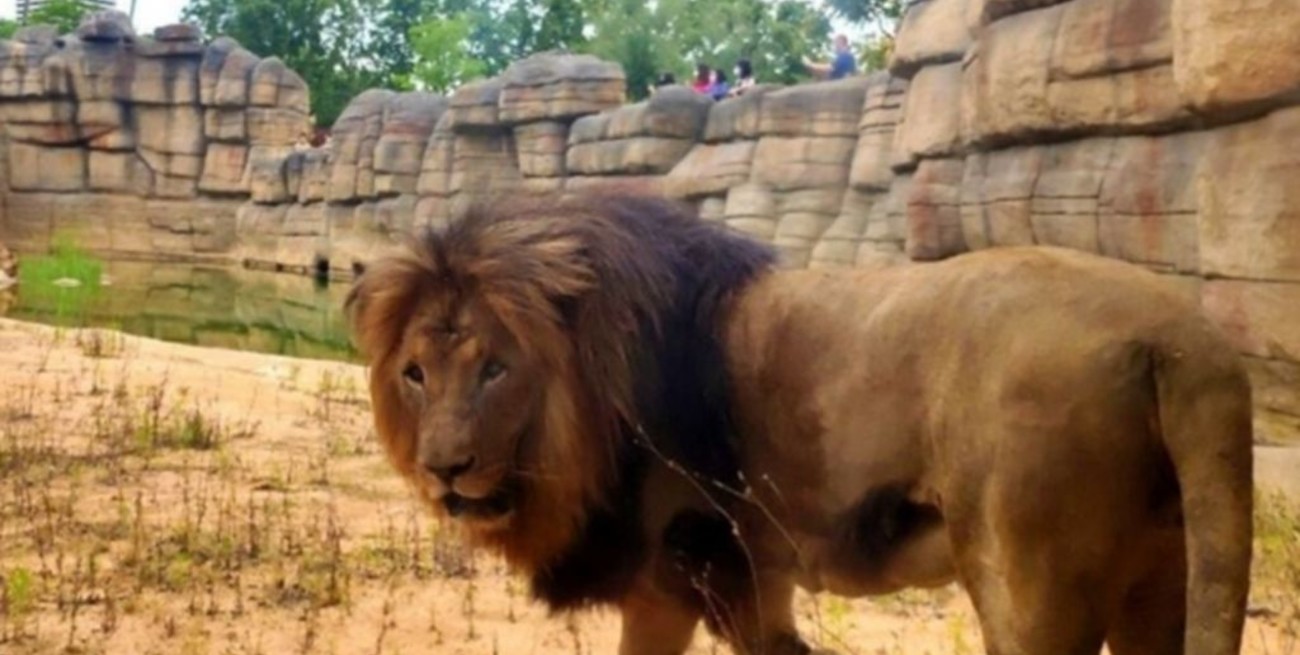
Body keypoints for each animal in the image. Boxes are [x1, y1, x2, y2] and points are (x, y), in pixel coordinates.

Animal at [346, 194, 1253, 655]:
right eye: (415, 374)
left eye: (497, 368)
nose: (444, 467)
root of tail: (1180, 340)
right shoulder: (746, 579)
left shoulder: (687, 569)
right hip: (1163, 571)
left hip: (1029, 584)